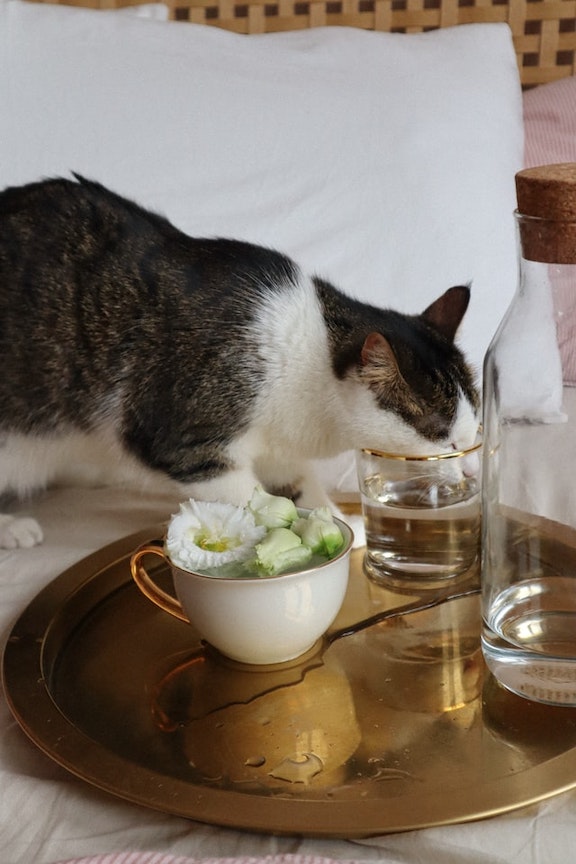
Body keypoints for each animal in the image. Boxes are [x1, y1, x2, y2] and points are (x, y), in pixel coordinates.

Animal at [0, 177, 480, 548]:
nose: (467, 472)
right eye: (441, 436)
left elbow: (295, 483)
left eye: (474, 430)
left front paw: (338, 524)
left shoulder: (280, 445)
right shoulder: (182, 438)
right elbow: (250, 496)